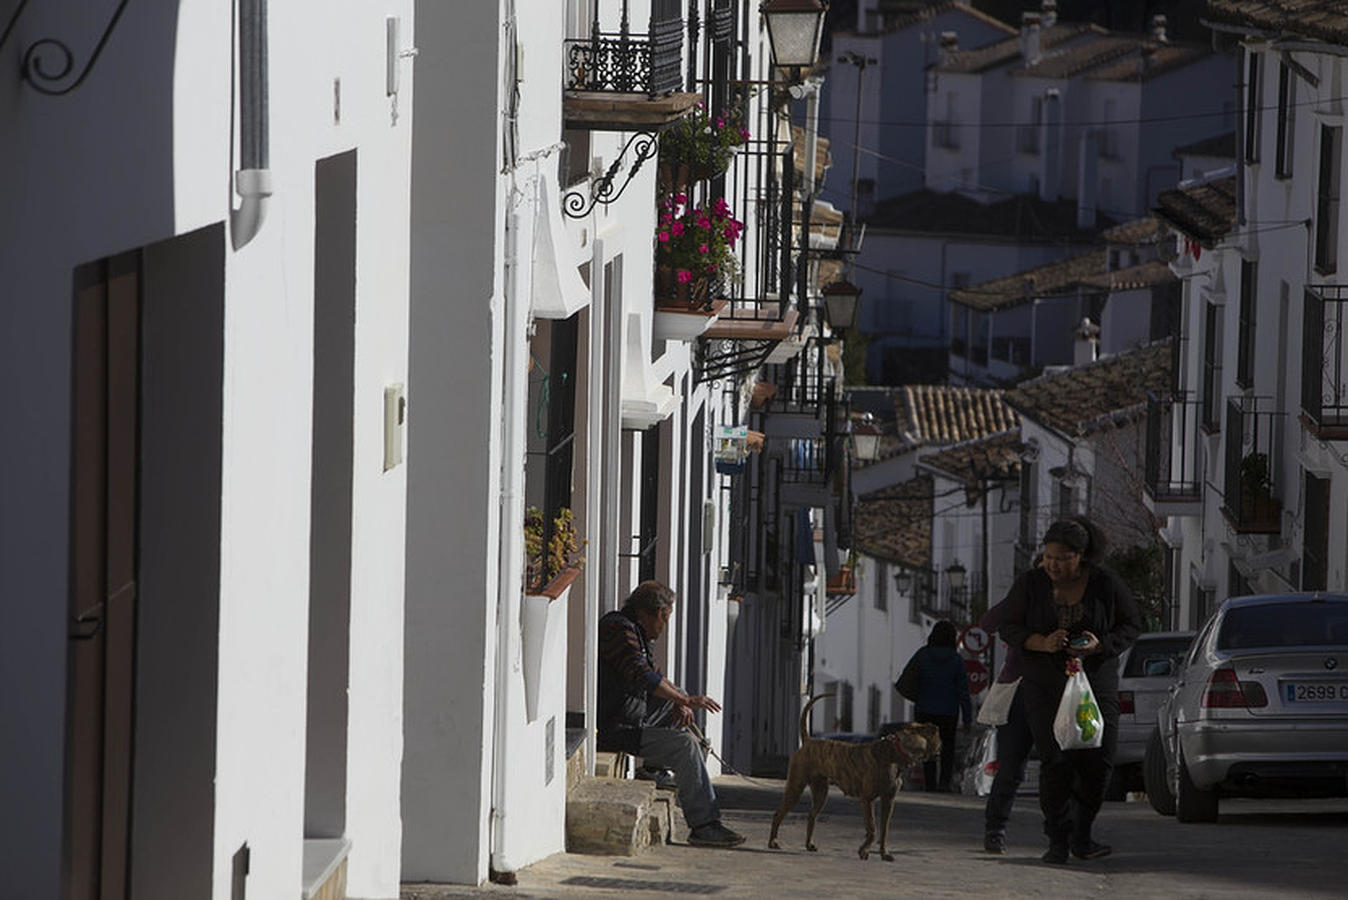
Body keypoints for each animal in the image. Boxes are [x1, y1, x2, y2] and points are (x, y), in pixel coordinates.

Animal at [765, 695, 943, 862]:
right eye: (937, 737)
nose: (941, 748)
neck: (894, 753)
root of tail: (808, 741)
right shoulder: (867, 799)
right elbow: (872, 828)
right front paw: (864, 851)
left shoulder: (888, 801)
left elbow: (884, 831)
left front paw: (884, 854)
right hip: (796, 787)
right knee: (778, 813)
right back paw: (773, 842)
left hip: (821, 792)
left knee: (811, 816)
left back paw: (809, 844)